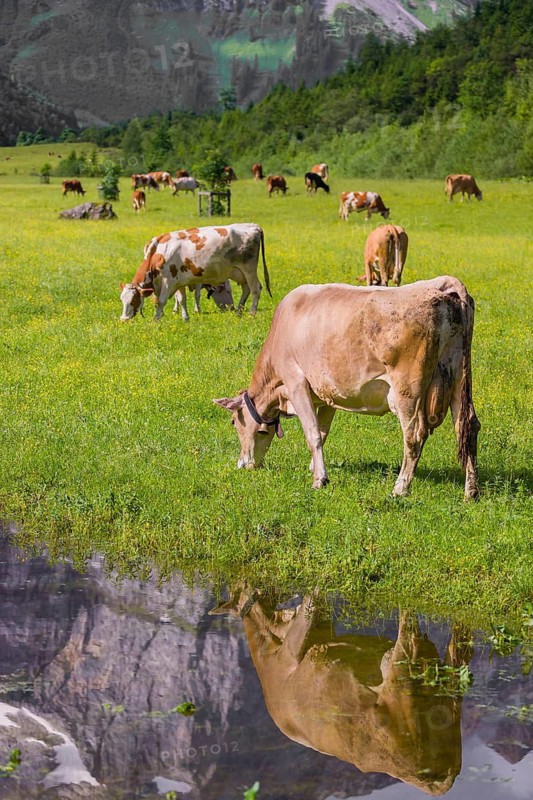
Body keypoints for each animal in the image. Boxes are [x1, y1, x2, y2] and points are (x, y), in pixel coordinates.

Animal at [120, 223, 271, 322]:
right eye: (122, 300)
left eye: (134, 300)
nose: (123, 319)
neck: (159, 252)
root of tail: (253, 226)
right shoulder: (178, 281)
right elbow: (181, 299)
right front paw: (185, 317)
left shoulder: (169, 280)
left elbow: (161, 301)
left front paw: (156, 319)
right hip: (239, 272)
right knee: (246, 289)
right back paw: (239, 311)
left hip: (249, 269)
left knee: (255, 288)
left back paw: (251, 313)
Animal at [214, 276, 480, 499]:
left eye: (234, 422)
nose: (243, 464)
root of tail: (445, 285)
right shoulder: (327, 392)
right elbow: (323, 431)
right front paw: (315, 467)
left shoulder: (296, 383)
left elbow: (312, 433)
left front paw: (319, 479)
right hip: (458, 379)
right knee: (467, 426)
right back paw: (471, 491)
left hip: (407, 391)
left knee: (414, 435)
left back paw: (400, 488)